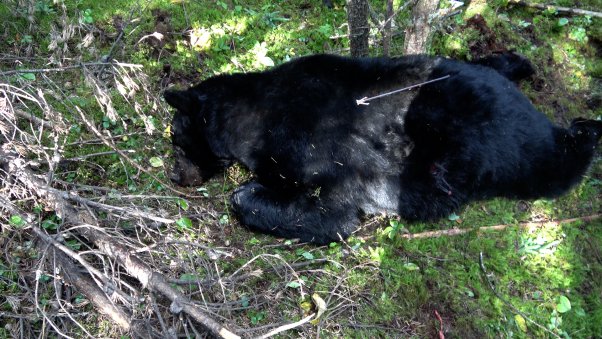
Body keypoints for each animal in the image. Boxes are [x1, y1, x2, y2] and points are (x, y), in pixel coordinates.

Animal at [164, 53, 600, 244]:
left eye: (175, 138)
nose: (175, 175)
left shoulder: (318, 150)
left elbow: (331, 214)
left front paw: (253, 195)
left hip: (515, 154)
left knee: (557, 163)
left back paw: (587, 130)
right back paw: (517, 63)